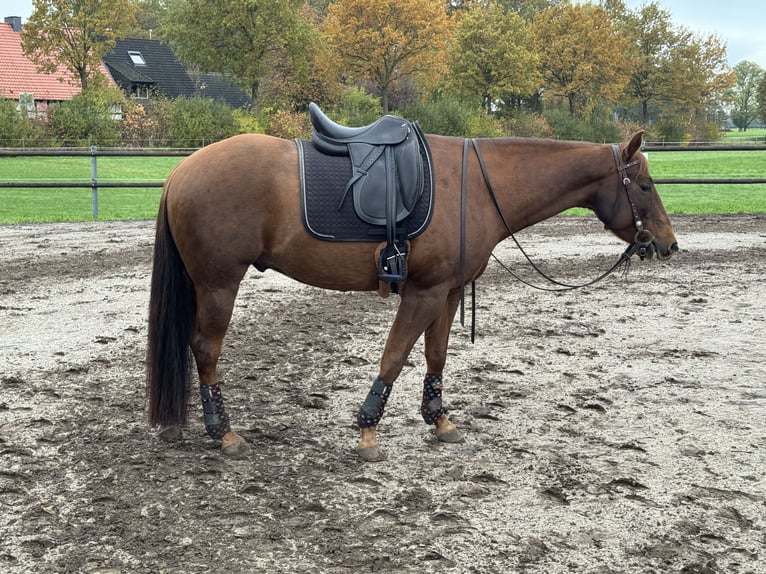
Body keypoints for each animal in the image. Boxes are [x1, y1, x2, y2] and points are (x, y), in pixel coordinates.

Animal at [146, 129, 678, 462]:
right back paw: (224, 432)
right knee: (205, 349)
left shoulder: (447, 292)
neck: (476, 189)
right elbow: (395, 356)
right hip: (219, 285)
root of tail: (180, 172)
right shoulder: (422, 294)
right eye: (644, 185)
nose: (669, 244)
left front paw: (439, 420)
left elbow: (435, 356)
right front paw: (367, 430)